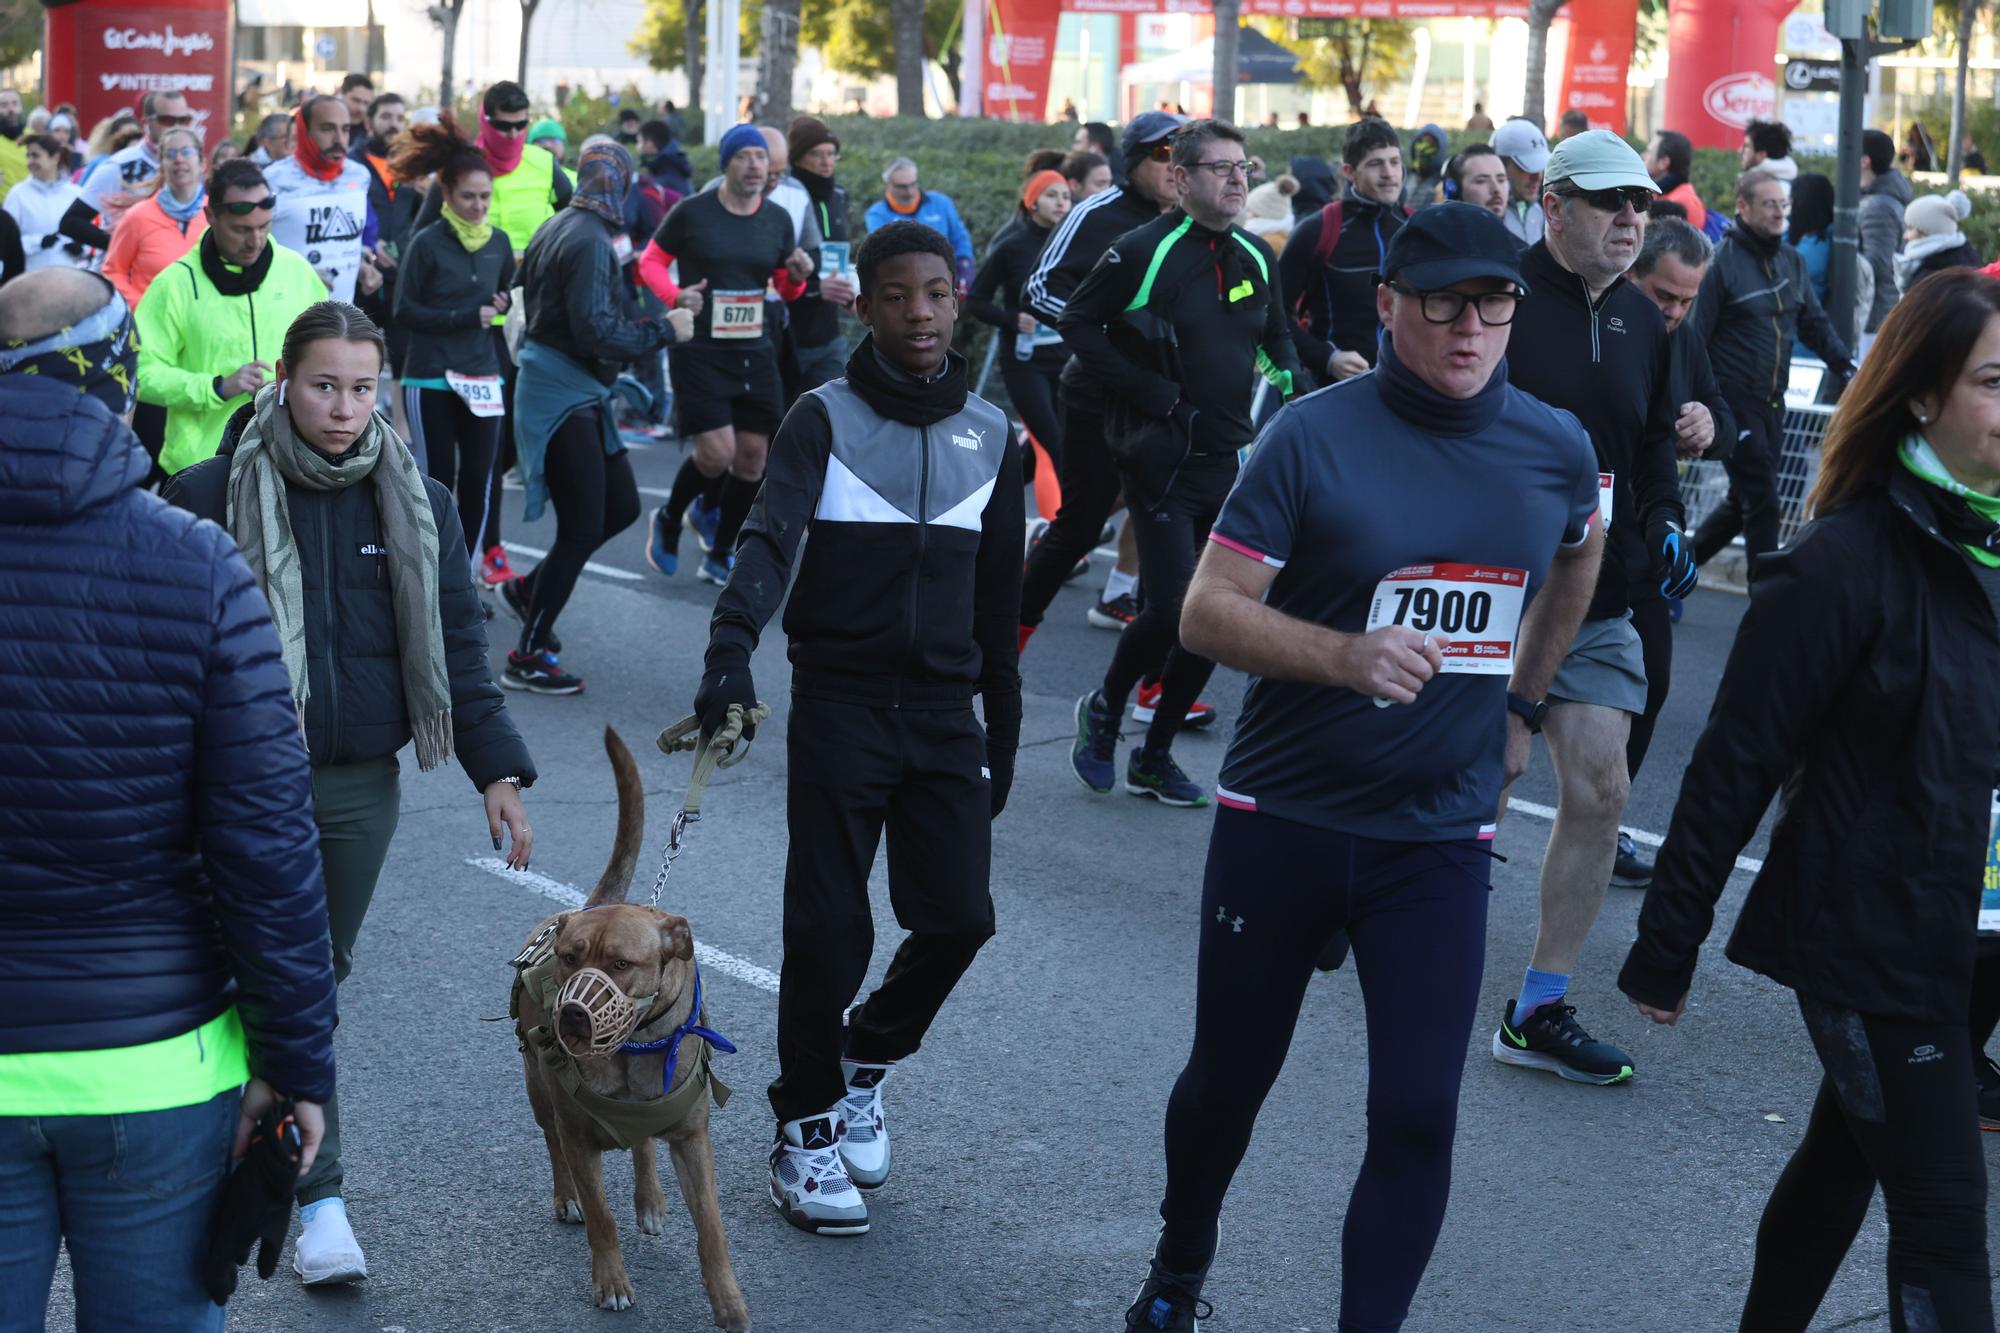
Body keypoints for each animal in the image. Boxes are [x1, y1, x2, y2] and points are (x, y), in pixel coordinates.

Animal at [516, 732, 752, 1320]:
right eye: (570, 958)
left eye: (622, 963)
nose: (572, 1014)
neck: (635, 1049)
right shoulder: (578, 1136)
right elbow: (602, 1217)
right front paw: (611, 1282)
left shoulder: (693, 1138)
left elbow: (711, 1227)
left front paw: (727, 1300)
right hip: (538, 1091)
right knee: (553, 1142)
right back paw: (567, 1196)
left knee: (644, 1144)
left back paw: (650, 1199)